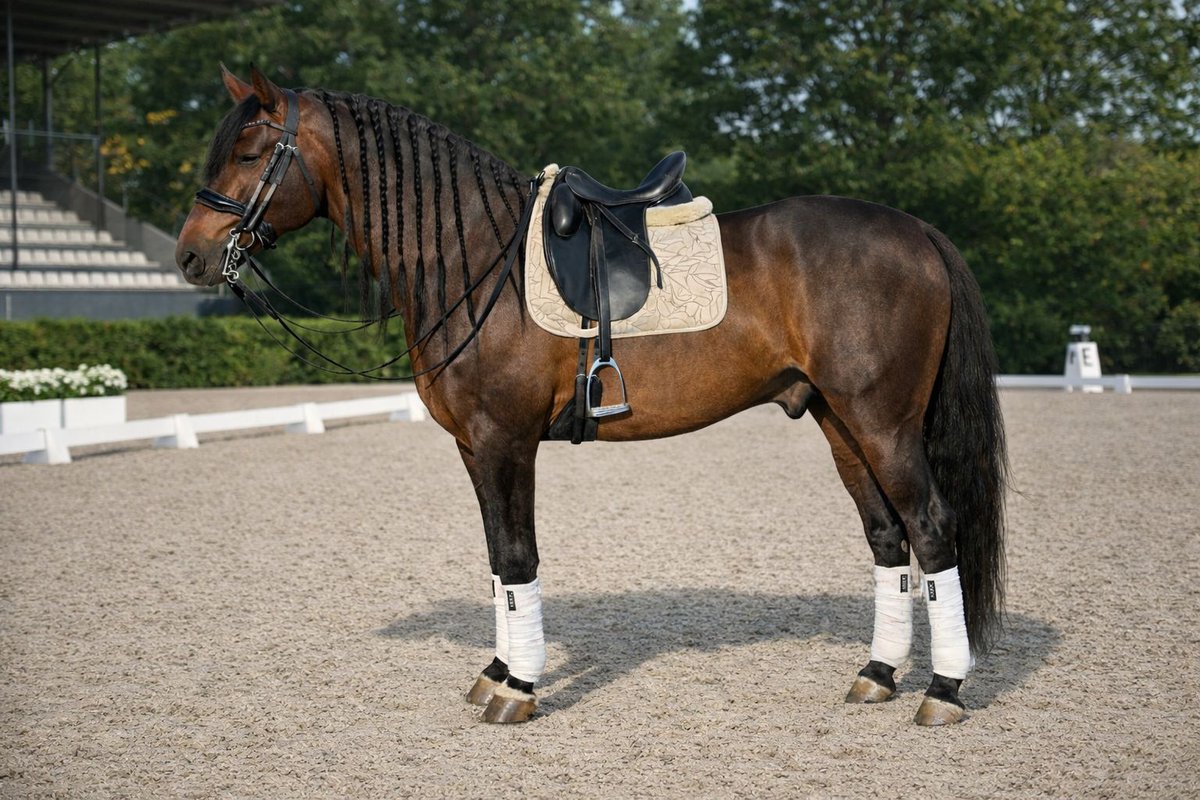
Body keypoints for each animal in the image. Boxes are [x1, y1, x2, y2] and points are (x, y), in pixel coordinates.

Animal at [176, 67, 1007, 727]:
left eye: (250, 153)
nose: (190, 256)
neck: (472, 257)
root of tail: (918, 232)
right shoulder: (474, 446)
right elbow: (497, 562)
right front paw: (496, 674)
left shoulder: (505, 438)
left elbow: (517, 558)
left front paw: (517, 689)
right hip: (840, 423)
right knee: (888, 539)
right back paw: (876, 675)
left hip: (884, 423)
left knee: (932, 530)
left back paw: (943, 690)